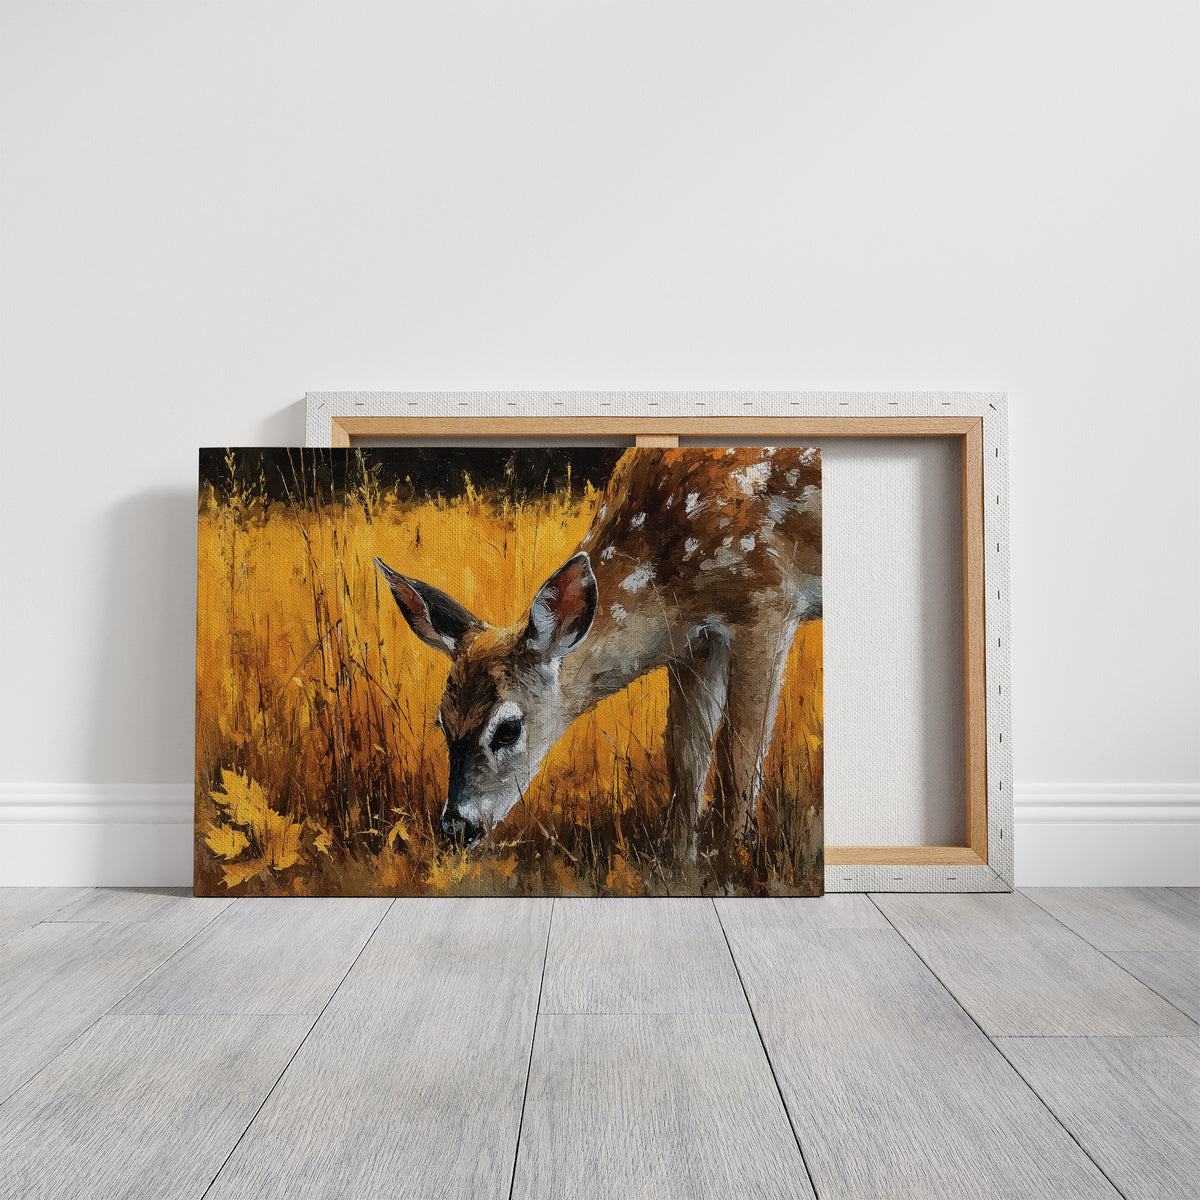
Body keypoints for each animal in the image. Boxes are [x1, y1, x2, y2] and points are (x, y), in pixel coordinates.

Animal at [375, 446, 821, 872]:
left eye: (508, 730)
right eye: (442, 721)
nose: (456, 827)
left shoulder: (767, 601)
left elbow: (741, 754)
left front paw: (734, 862)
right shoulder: (695, 643)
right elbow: (687, 756)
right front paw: (679, 862)